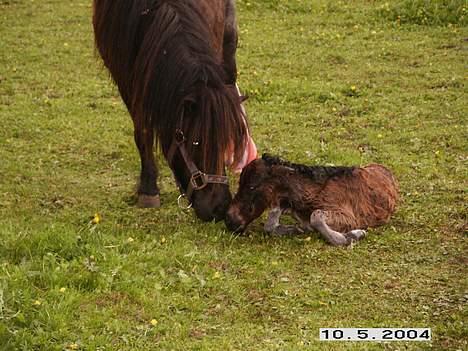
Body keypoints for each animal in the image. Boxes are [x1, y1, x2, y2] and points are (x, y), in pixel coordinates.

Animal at [227, 154, 398, 248]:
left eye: (252, 186)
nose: (230, 220)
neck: (312, 193)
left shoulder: (350, 217)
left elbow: (315, 217)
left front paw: (351, 236)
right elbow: (271, 224)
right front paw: (294, 229)